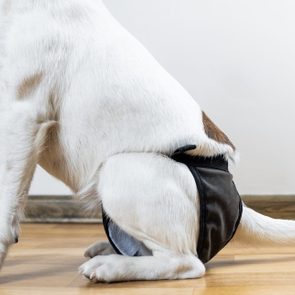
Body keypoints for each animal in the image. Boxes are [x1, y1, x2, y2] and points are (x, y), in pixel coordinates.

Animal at [0, 0, 295, 282]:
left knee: (186, 262)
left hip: (120, 170)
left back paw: (111, 266)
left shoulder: (21, 112)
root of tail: (237, 203)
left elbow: (6, 207)